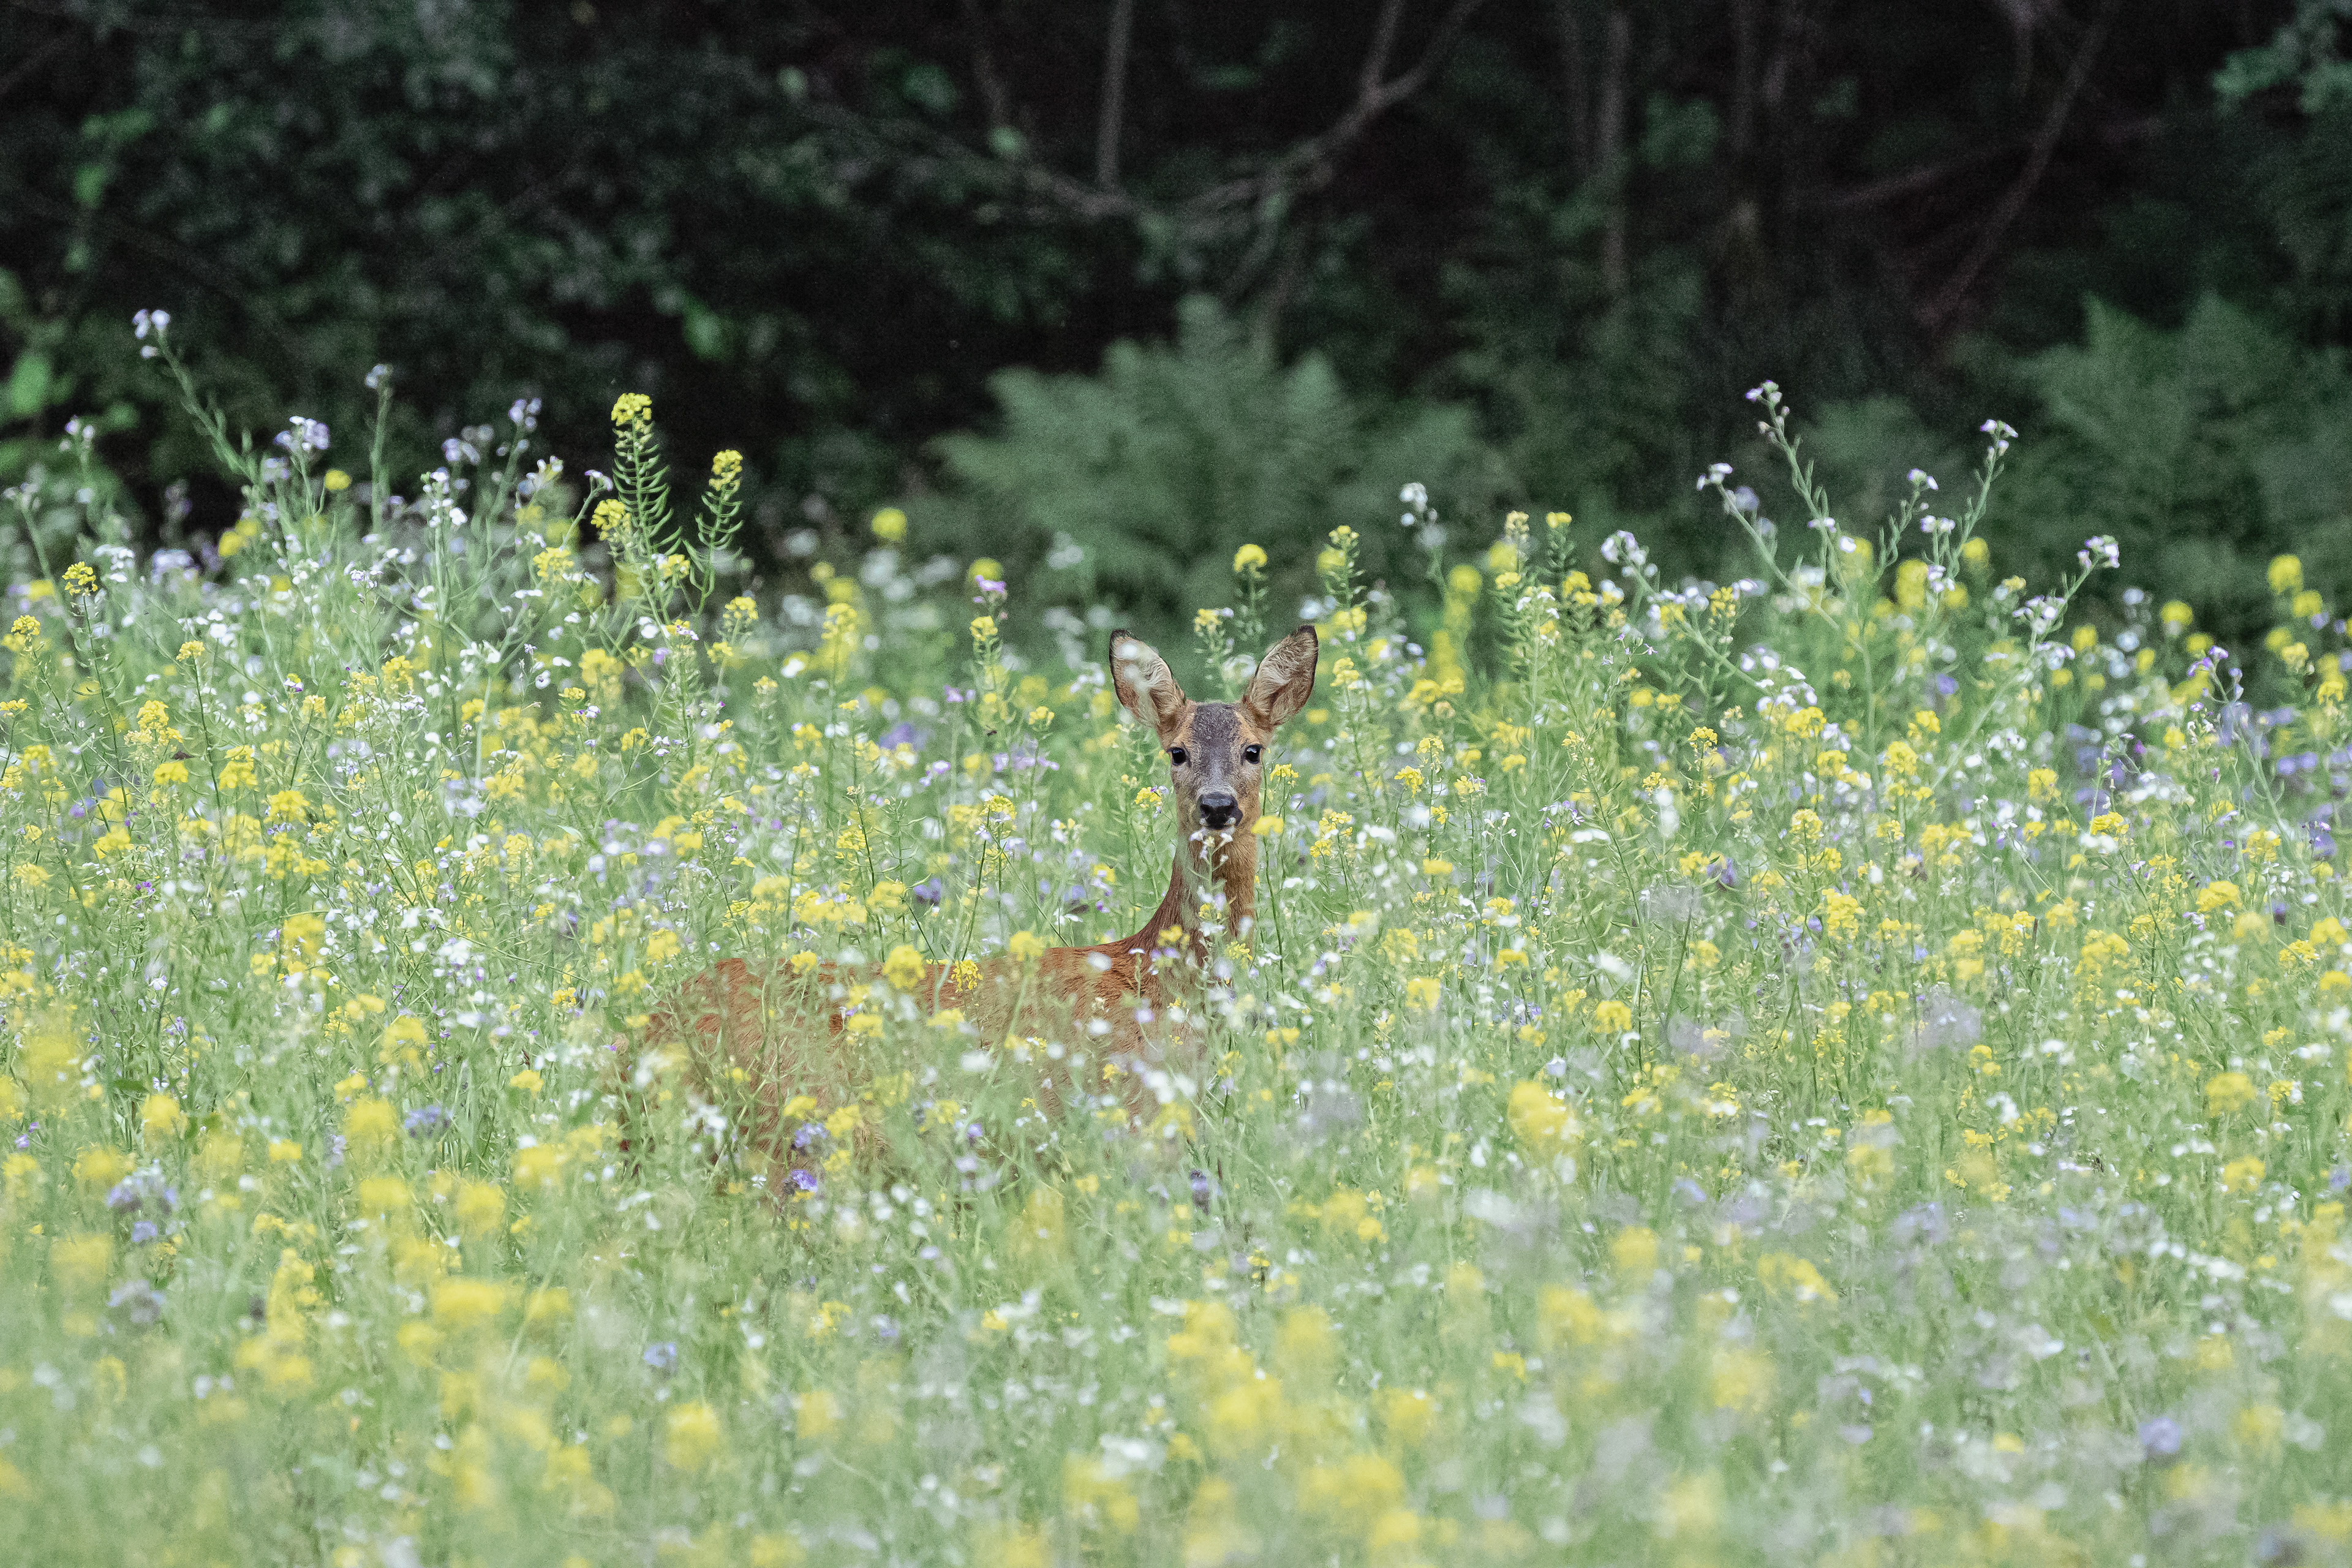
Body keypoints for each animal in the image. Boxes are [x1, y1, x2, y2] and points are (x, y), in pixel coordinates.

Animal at [629, 624, 1319, 1186]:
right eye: (1176, 751)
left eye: (1254, 749)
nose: (1217, 806)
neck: (1160, 978)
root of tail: (642, 1036)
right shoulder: (1128, 1128)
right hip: (789, 1137)